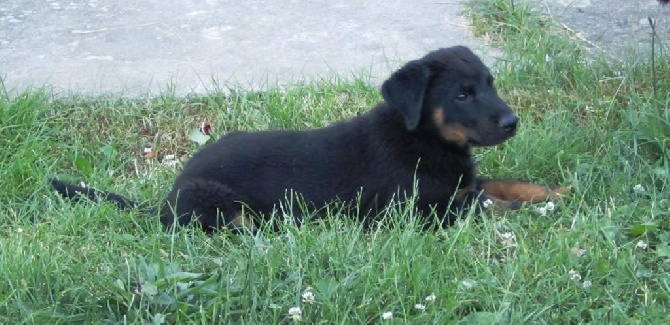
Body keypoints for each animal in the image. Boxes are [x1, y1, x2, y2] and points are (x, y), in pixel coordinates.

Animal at [53, 46, 568, 232]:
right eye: (462, 94)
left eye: (490, 83)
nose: (512, 121)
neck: (423, 139)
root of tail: (167, 196)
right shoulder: (418, 210)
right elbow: (487, 202)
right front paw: (537, 208)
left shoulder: (460, 184)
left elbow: (501, 183)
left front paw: (554, 190)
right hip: (215, 202)